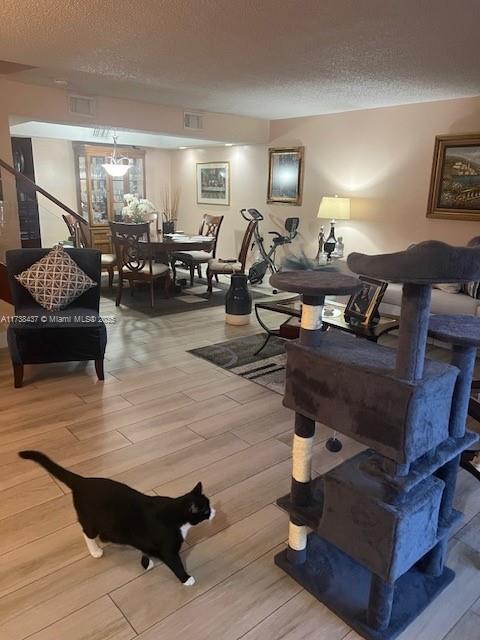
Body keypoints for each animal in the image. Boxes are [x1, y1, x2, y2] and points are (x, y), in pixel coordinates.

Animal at [18, 450, 214, 584]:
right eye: (205, 509)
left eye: (209, 505)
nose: (214, 511)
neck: (176, 515)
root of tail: (81, 481)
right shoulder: (168, 548)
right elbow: (175, 563)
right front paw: (187, 579)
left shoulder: (144, 539)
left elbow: (145, 549)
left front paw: (146, 562)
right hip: (90, 520)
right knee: (86, 532)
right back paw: (95, 551)